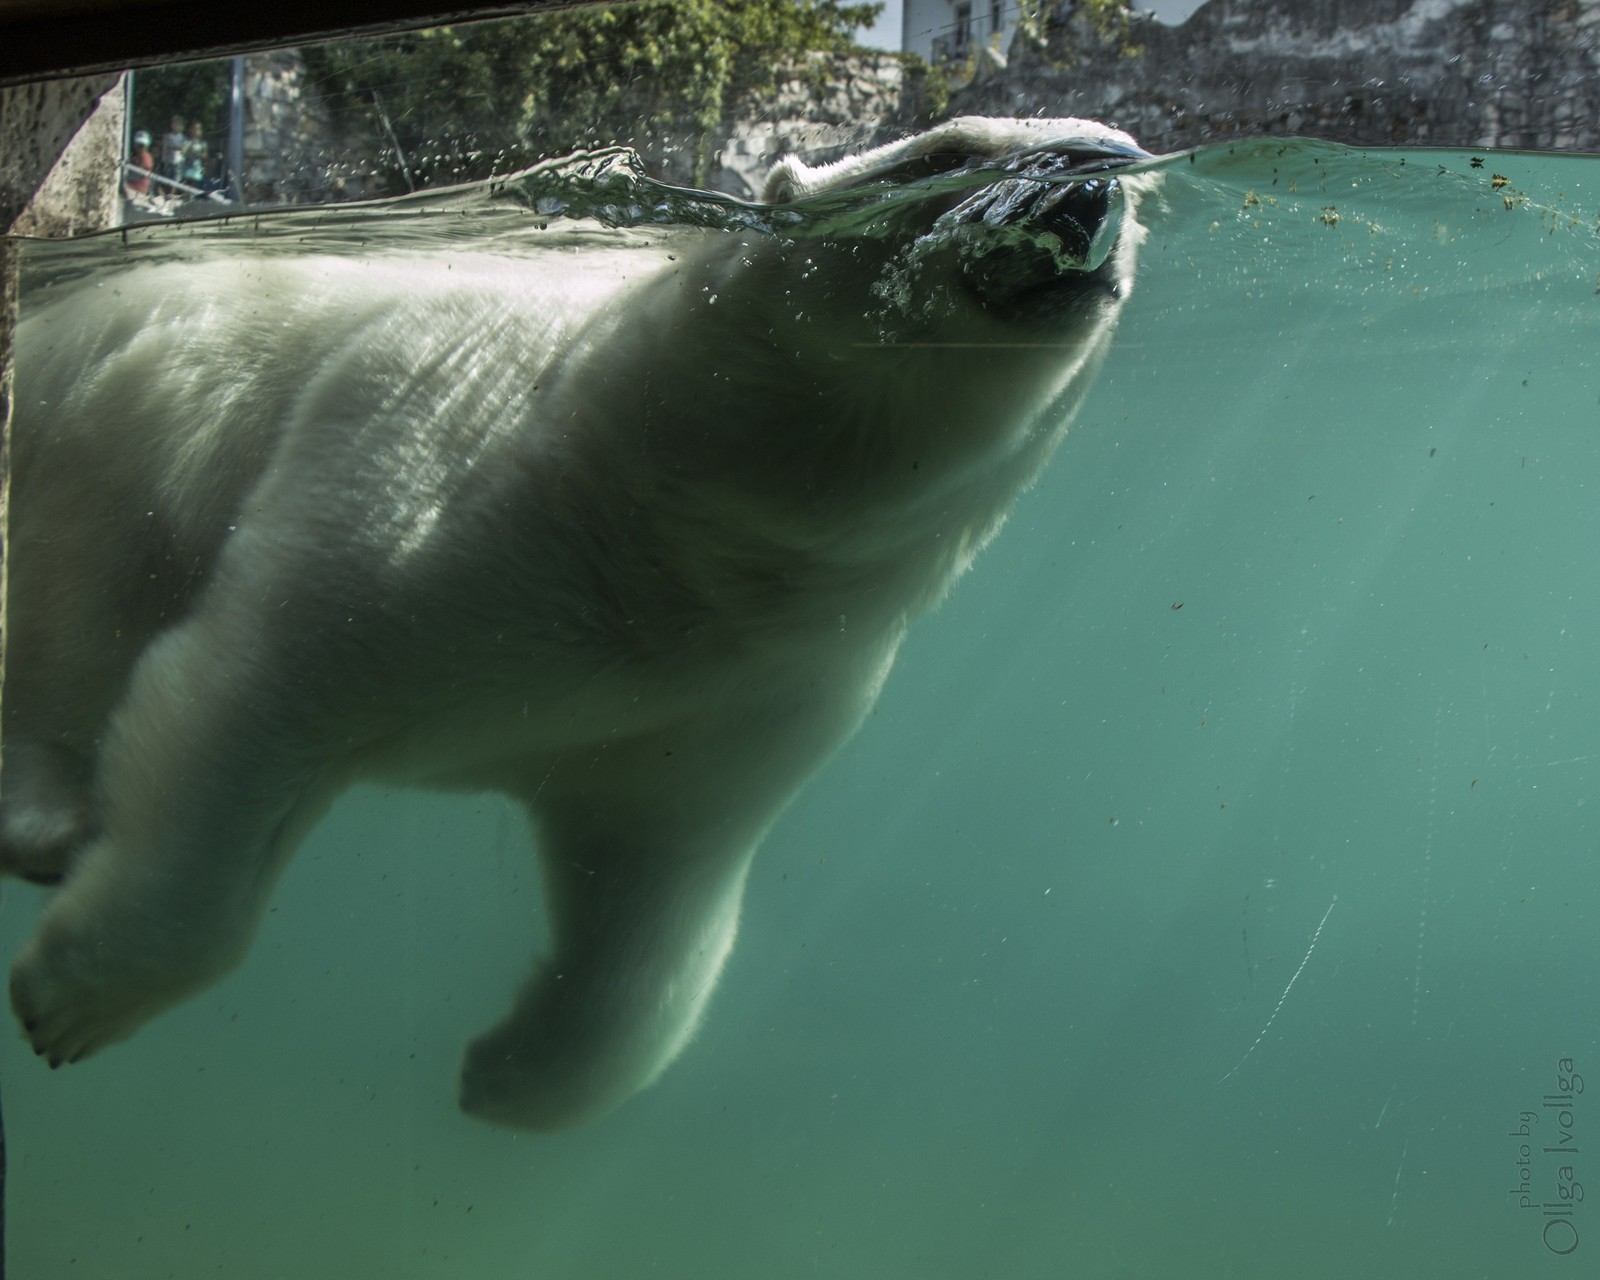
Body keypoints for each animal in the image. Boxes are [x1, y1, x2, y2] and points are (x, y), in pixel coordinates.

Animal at [0, 115, 1152, 1126]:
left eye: (1129, 158)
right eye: (943, 152)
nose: (1093, 184)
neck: (652, 503)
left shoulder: (737, 693)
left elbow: (660, 899)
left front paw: (510, 1075)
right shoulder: (423, 474)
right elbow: (253, 689)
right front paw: (75, 1000)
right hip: (117, 415)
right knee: (84, 597)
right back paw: (47, 815)